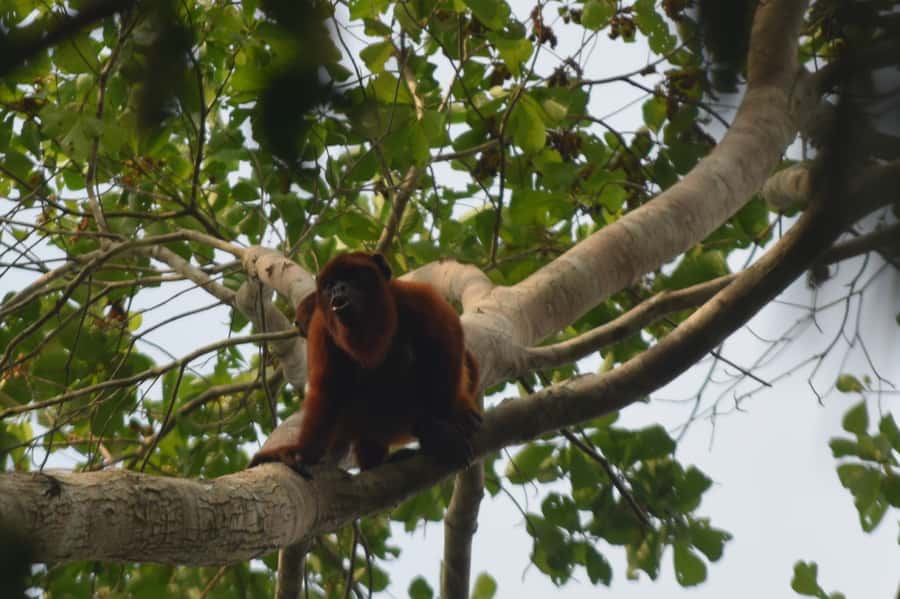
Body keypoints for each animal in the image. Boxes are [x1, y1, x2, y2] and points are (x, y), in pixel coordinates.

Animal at [250, 252, 481, 474]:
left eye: (352, 277)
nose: (338, 288)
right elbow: (327, 390)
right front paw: (300, 453)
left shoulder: (416, 298)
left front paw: (441, 427)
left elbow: (448, 342)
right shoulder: (322, 329)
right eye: (330, 284)